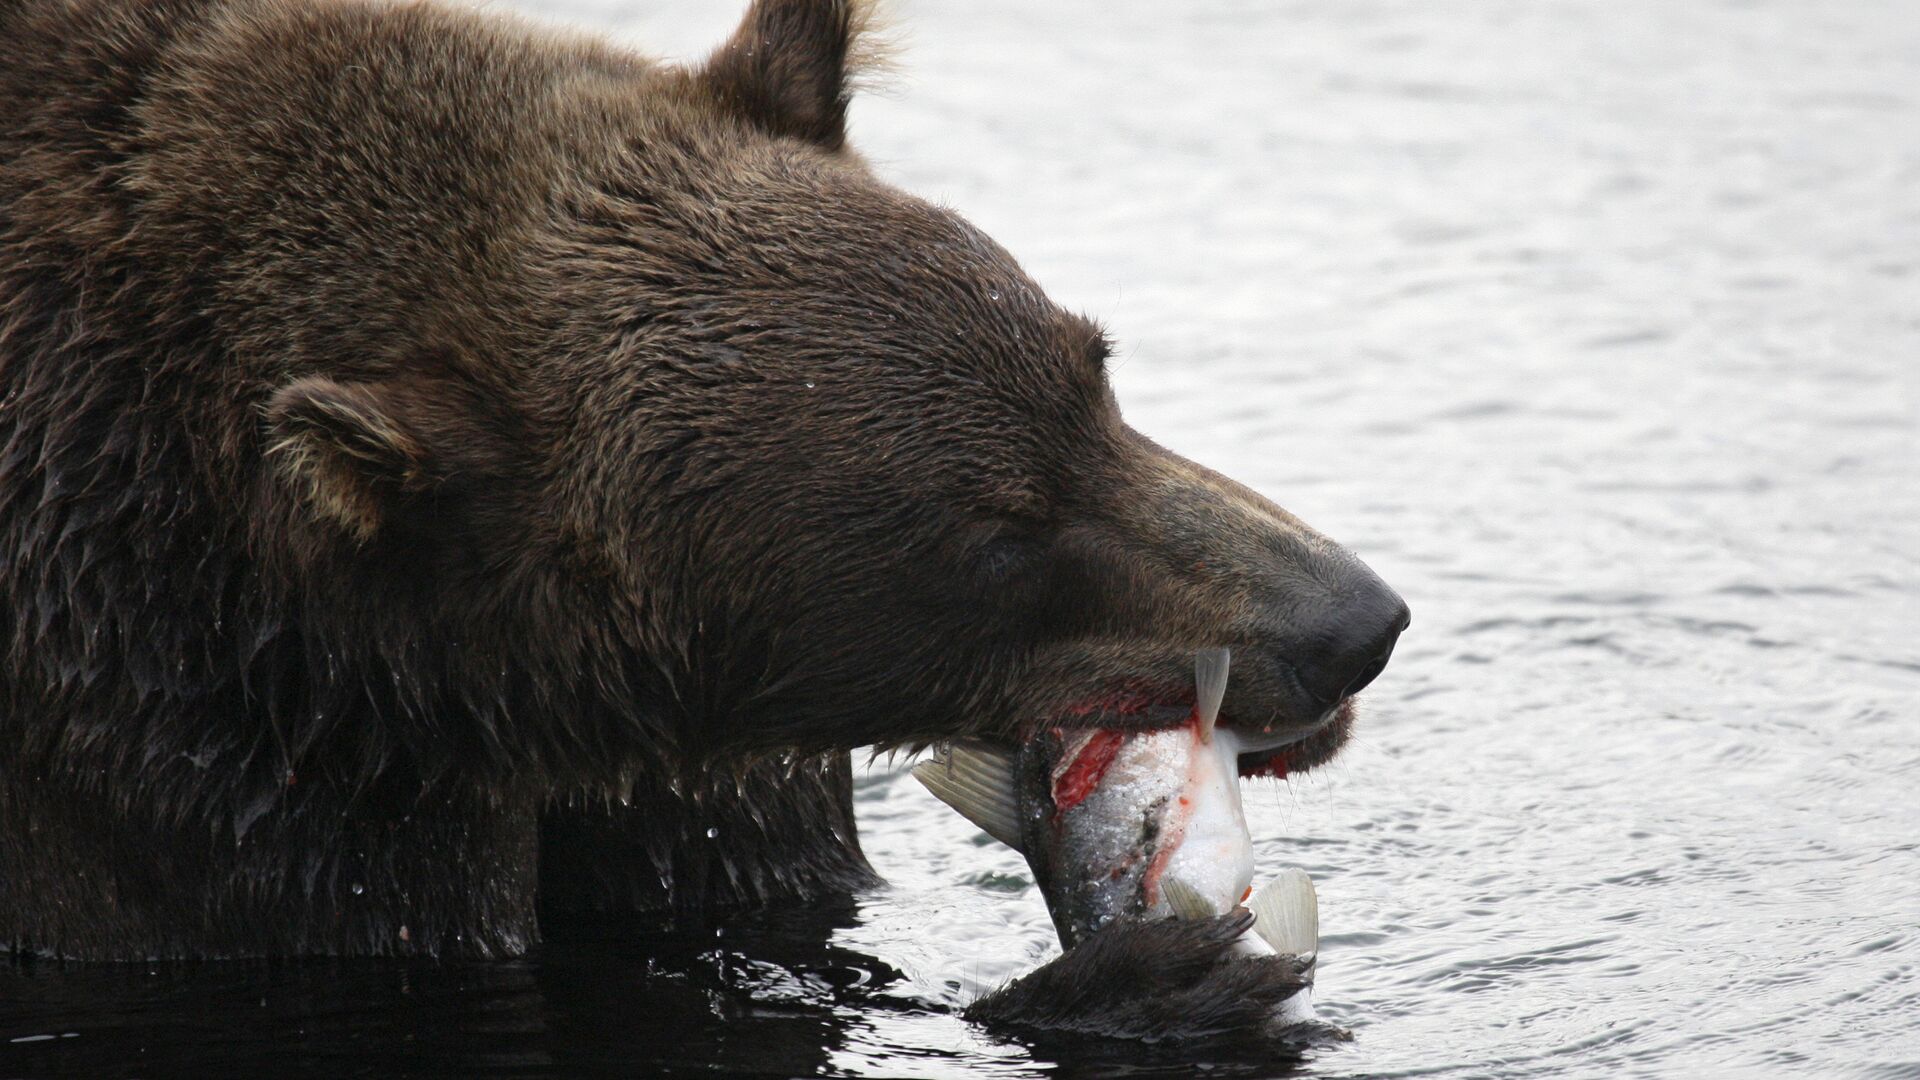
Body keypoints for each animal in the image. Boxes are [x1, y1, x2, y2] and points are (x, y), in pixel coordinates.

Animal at [0, 0, 1413, 1037]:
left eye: (1095, 373)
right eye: (996, 531)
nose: (1351, 623)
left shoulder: (685, 774)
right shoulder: (211, 767)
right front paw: (1157, 976)